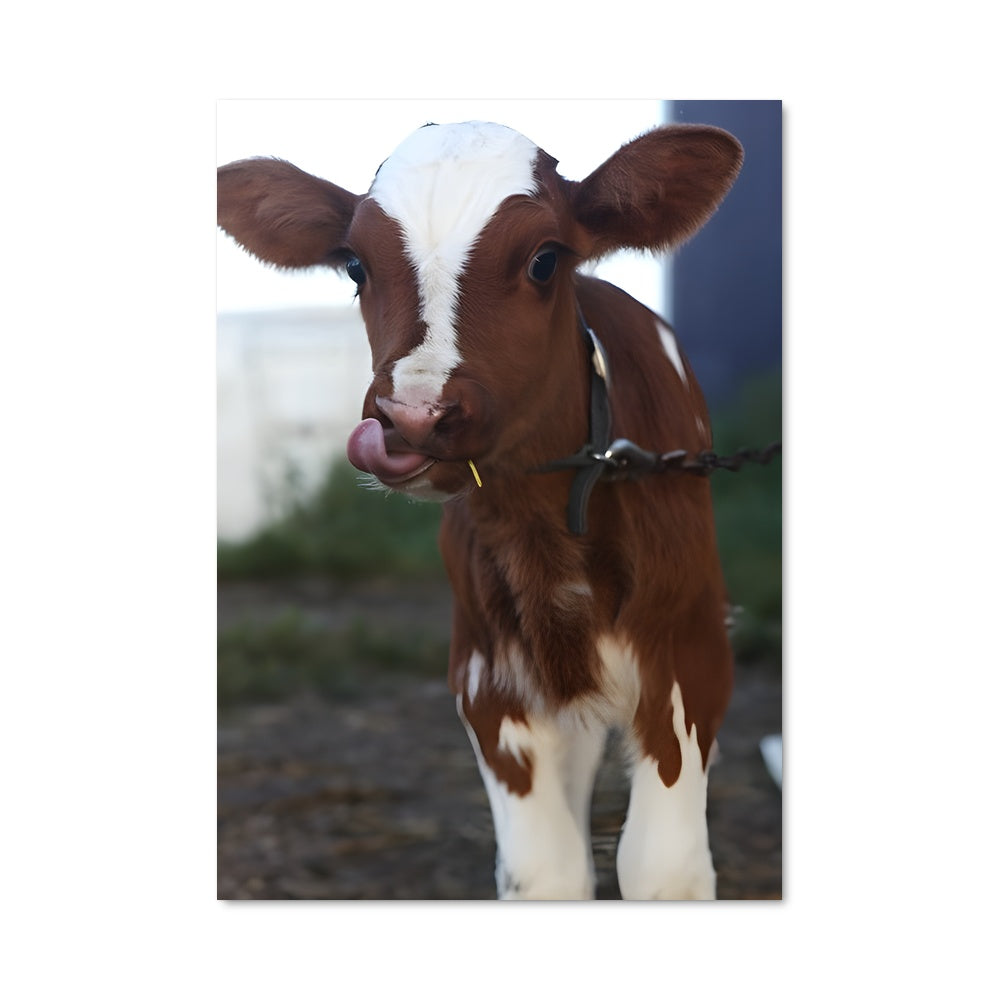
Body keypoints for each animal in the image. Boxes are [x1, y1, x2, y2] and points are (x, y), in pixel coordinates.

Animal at [217, 119, 743, 899]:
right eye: (354, 266)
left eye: (545, 260)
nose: (412, 417)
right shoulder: (487, 684)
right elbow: (545, 873)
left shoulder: (691, 658)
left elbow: (663, 869)